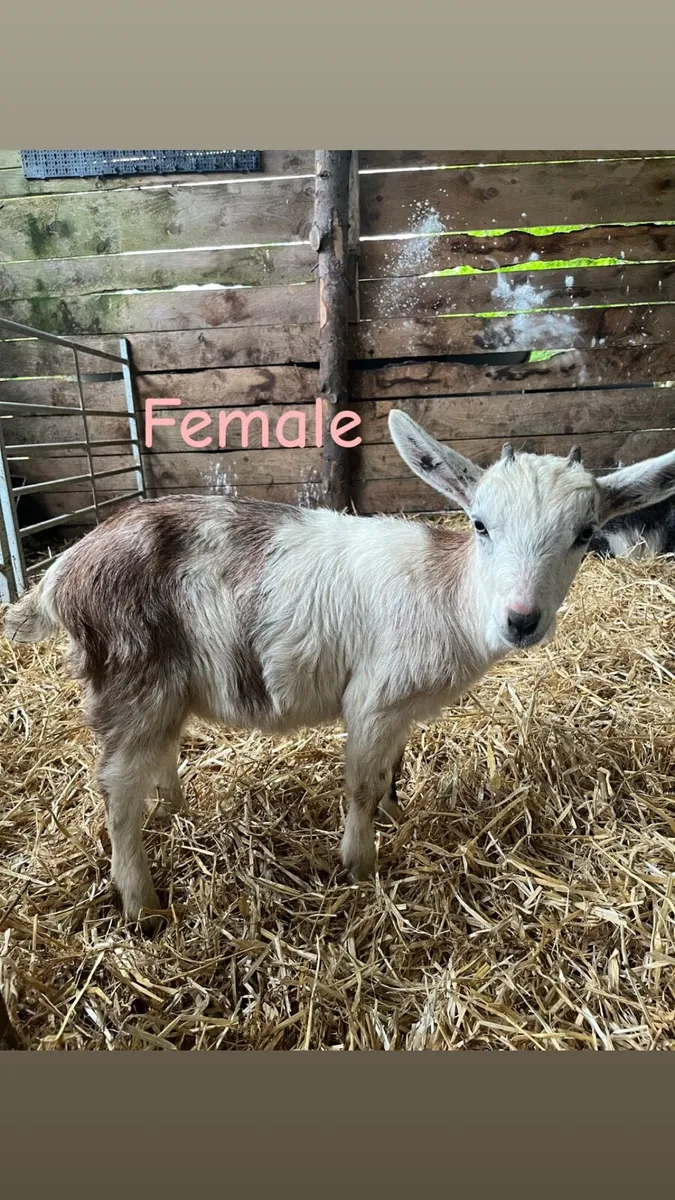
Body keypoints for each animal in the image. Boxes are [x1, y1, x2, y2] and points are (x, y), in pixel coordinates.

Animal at [5, 412, 675, 930]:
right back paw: (142, 906)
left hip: (162, 688)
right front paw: (359, 866)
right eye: (481, 524)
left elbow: (388, 773)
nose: (522, 621)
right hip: (131, 676)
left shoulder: (401, 708)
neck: (449, 593)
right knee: (117, 791)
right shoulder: (373, 700)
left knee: (155, 758)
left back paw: (176, 811)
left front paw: (396, 816)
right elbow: (359, 785)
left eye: (585, 534)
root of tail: (62, 572)